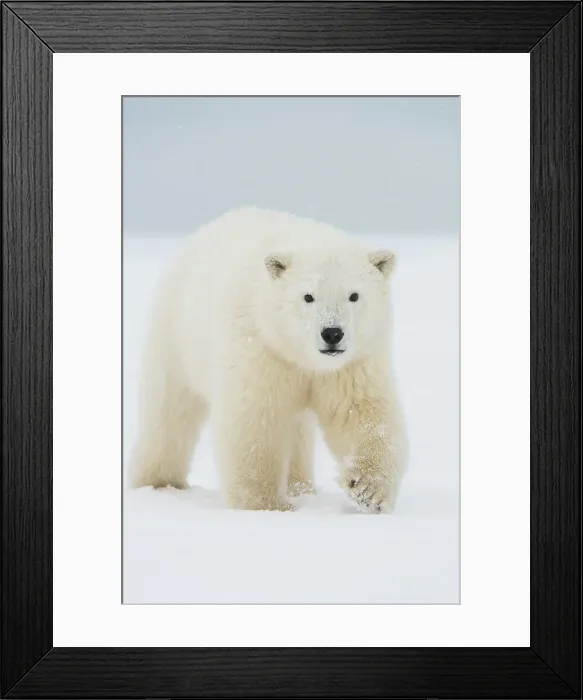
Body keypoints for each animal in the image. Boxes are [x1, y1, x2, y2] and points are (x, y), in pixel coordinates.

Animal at [129, 207, 406, 513]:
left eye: (354, 295)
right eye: (308, 296)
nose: (332, 333)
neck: (300, 356)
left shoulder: (352, 364)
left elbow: (363, 413)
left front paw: (367, 489)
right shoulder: (260, 348)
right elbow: (255, 420)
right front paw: (266, 506)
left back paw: (301, 487)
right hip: (176, 336)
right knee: (169, 411)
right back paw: (158, 482)